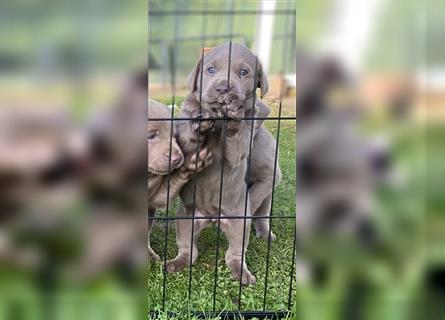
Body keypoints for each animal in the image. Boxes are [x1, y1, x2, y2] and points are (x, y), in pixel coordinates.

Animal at [166, 43, 278, 284]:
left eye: (243, 72)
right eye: (210, 70)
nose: (223, 88)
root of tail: (212, 217)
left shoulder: (243, 141)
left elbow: (236, 143)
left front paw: (233, 114)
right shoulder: (183, 131)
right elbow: (188, 141)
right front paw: (198, 124)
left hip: (239, 222)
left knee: (234, 253)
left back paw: (242, 273)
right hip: (185, 217)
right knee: (189, 250)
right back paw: (176, 263)